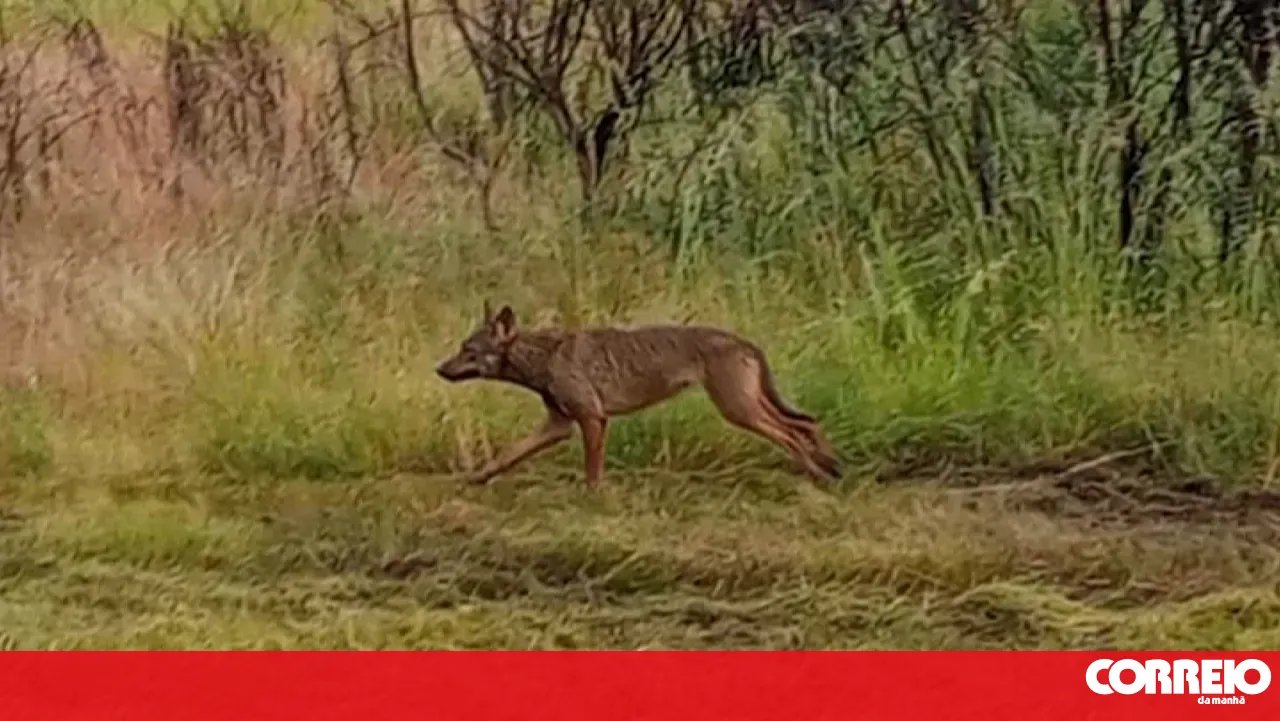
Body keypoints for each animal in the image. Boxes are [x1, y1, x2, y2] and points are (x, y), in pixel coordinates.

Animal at [435, 302, 843, 488]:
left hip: (738, 410)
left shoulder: (592, 419)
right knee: (807, 423)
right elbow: (507, 455)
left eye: (468, 351)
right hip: (747, 406)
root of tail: (744, 341)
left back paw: (817, 472)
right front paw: (476, 478)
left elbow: (592, 470)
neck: (543, 357)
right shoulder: (558, 426)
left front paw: (593, 499)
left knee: (792, 433)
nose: (439, 369)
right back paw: (831, 465)